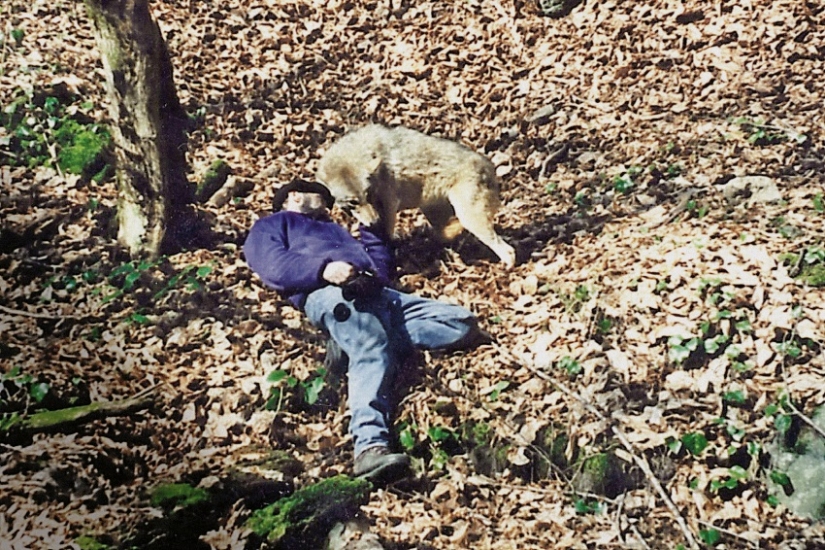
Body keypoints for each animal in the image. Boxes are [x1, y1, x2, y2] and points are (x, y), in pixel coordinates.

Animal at [316, 124, 516, 267]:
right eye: (353, 202)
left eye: (368, 195)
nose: (374, 223)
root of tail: (489, 166)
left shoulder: (390, 204)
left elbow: (388, 234)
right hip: (433, 211)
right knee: (448, 232)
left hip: (470, 219)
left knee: (508, 250)